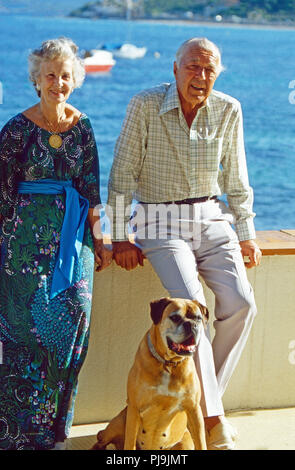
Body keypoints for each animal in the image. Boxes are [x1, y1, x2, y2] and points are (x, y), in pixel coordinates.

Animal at [91, 300, 209, 450]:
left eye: (198, 318)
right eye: (175, 317)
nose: (192, 325)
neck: (168, 364)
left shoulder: (194, 410)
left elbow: (201, 441)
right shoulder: (134, 408)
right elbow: (130, 442)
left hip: (185, 443)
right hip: (118, 423)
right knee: (100, 440)